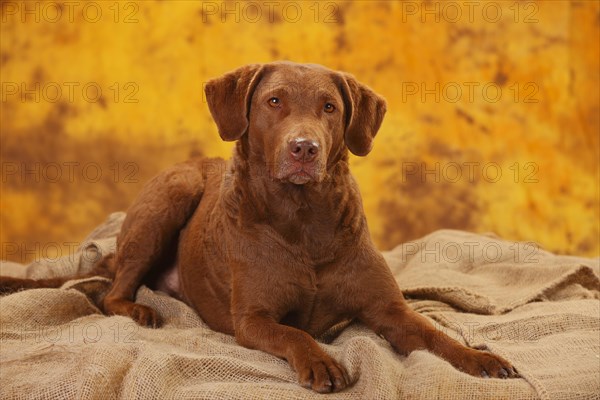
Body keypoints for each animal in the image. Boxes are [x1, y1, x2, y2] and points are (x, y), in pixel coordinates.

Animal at [0, 62, 516, 394]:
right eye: (274, 101)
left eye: (329, 107)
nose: (304, 148)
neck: (303, 218)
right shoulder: (253, 320)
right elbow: (295, 334)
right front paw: (321, 361)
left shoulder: (389, 311)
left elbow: (434, 335)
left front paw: (481, 359)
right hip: (172, 195)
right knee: (110, 293)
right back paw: (139, 310)